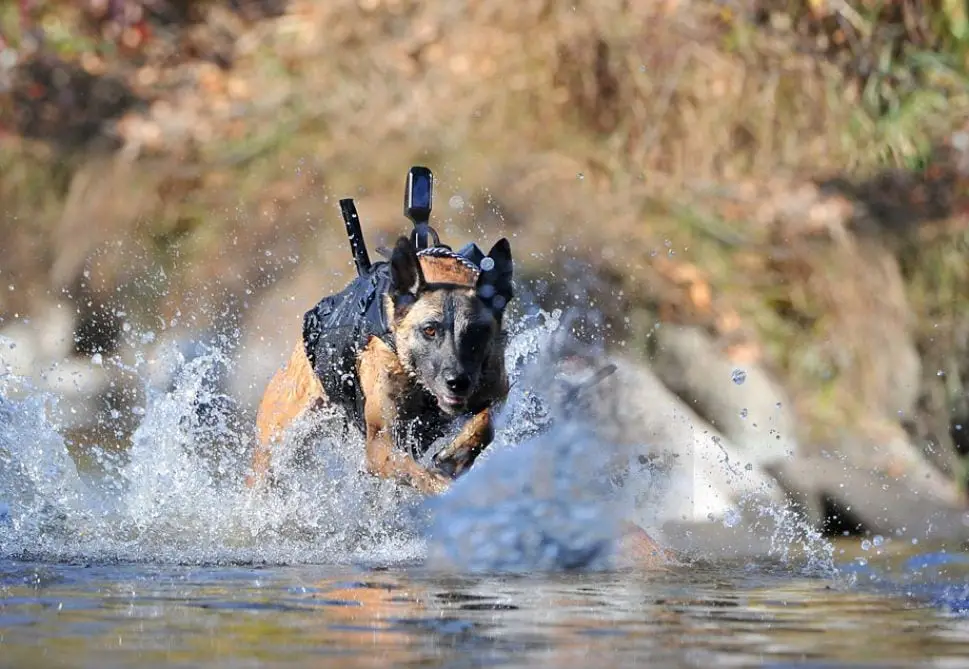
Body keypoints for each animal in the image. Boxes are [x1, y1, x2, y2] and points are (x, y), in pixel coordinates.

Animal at [246, 232, 516, 494]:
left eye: (477, 332)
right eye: (429, 330)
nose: (457, 382)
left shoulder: (496, 388)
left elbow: (486, 424)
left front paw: (455, 457)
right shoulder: (380, 446)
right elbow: (418, 473)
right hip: (277, 444)